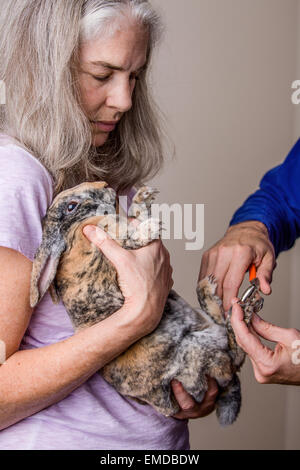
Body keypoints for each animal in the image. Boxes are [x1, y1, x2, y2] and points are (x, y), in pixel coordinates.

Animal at [29, 181, 262, 426]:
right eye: (71, 206)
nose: (105, 185)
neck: (71, 231)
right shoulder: (96, 236)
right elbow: (115, 230)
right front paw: (150, 227)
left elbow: (133, 217)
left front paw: (143, 197)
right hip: (198, 350)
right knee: (235, 355)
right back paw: (240, 310)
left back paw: (210, 290)